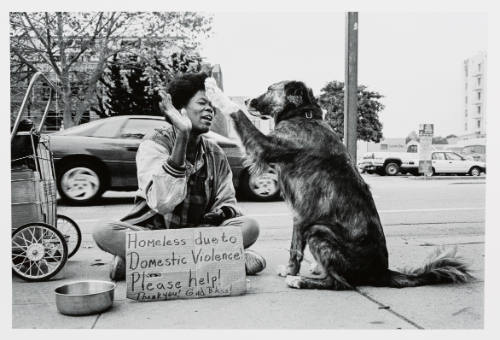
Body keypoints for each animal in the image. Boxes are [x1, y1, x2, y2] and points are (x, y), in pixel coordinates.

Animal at [206, 79, 472, 290]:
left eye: (270, 89)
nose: (248, 99)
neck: (303, 115)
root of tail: (381, 272)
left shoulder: (266, 147)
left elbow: (237, 114)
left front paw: (214, 90)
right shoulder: (299, 216)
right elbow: (295, 247)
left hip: (318, 230)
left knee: (340, 283)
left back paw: (302, 280)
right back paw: (315, 269)